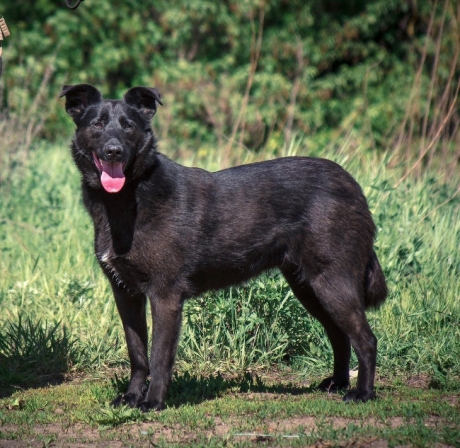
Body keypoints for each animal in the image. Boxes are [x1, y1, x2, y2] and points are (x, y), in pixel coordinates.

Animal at [60, 84, 387, 412]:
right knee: (340, 336)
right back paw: (338, 383)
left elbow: (159, 357)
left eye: (129, 126)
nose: (114, 151)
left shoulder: (165, 296)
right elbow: (137, 354)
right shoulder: (126, 294)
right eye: (97, 125)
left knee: (366, 340)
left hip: (332, 284)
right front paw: (131, 397)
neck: (128, 198)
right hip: (308, 288)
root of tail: (354, 186)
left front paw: (153, 402)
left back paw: (362, 393)